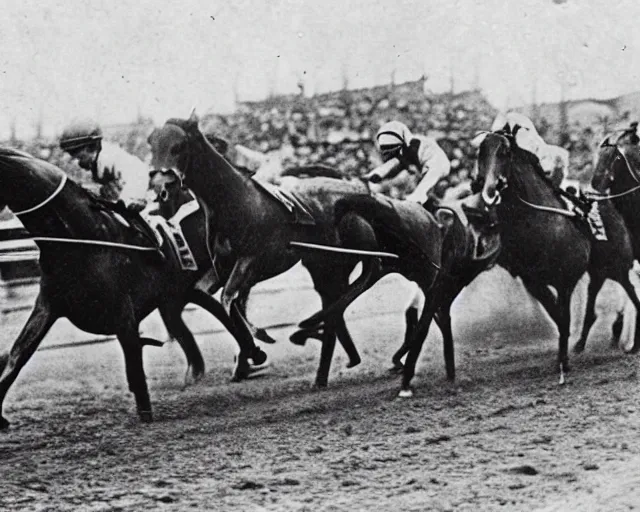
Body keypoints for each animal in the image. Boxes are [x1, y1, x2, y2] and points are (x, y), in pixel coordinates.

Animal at [0, 147, 264, 428]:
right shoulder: (49, 305)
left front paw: (145, 412)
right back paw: (244, 357)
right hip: (184, 289)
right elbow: (18, 354)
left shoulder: (122, 309)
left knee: (231, 302)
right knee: (218, 307)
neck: (80, 237)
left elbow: (134, 360)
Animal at [149, 114, 380, 388]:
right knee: (336, 297)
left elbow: (228, 298)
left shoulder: (253, 261)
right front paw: (251, 352)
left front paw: (255, 346)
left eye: (178, 146)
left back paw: (312, 332)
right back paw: (326, 363)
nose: (159, 186)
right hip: (324, 263)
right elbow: (213, 298)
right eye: (152, 144)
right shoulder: (221, 266)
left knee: (370, 273)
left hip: (345, 252)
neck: (236, 202)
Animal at [476, 130, 640, 382]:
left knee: (632, 293)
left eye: (504, 152)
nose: (489, 191)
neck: (541, 224)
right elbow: (557, 316)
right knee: (594, 294)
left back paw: (633, 343)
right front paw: (566, 352)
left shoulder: (565, 281)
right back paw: (582, 343)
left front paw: (563, 362)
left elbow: (563, 318)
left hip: (617, 266)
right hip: (599, 269)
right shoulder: (534, 282)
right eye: (480, 153)